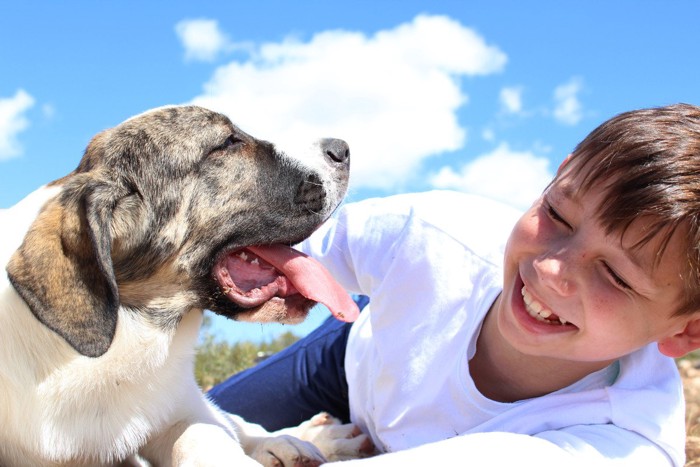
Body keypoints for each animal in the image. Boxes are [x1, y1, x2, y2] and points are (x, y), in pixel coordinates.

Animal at [0, 107, 370, 467]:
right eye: (228, 143)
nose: (342, 148)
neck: (127, 330)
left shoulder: (176, 407)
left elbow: (200, 434)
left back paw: (305, 440)